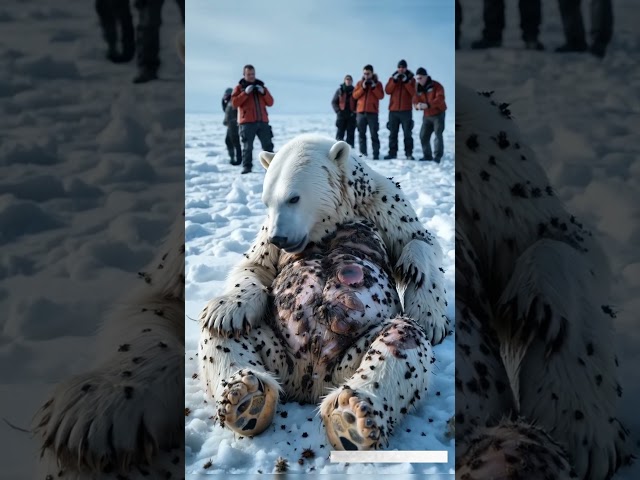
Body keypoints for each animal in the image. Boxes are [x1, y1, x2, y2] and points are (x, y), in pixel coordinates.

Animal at [205, 219, 436, 452]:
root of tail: (307, 381)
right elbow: (258, 266)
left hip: (344, 365)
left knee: (402, 336)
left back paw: (353, 418)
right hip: (276, 351)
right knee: (224, 329)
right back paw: (243, 395)